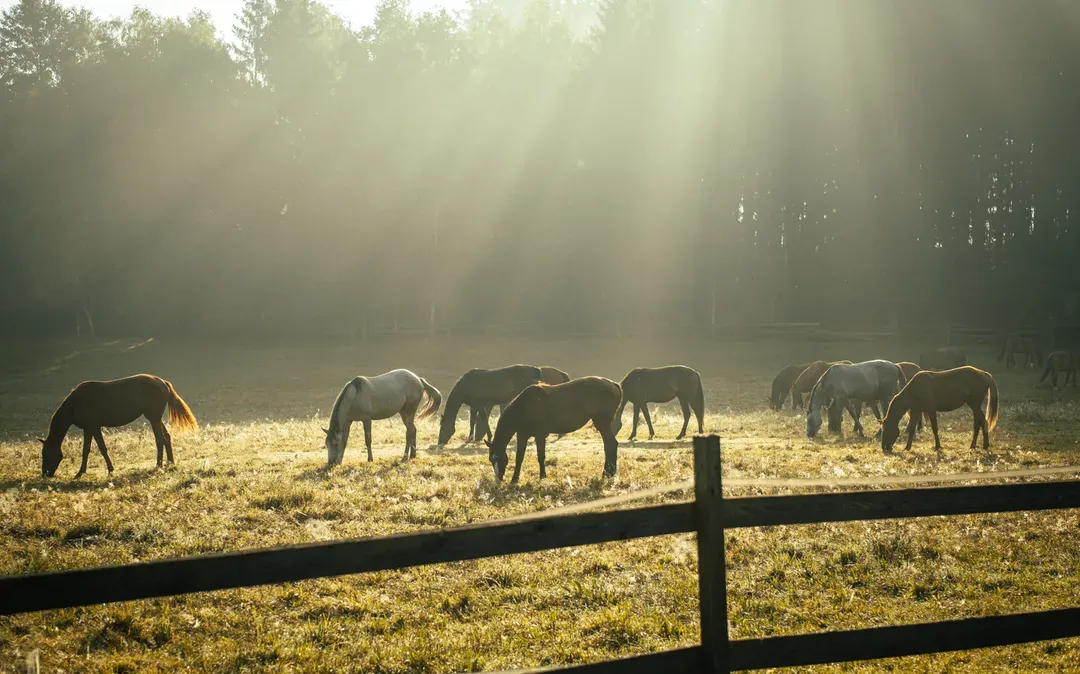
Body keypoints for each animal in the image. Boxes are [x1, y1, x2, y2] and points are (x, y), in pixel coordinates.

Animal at [39, 374, 198, 479]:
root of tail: (163, 382)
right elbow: (86, 450)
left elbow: (102, 448)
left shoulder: (94, 427)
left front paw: (110, 470)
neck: (75, 403)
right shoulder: (88, 429)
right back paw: (170, 462)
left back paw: (158, 465)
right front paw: (80, 472)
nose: (45, 474)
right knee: (166, 437)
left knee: (160, 440)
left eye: (45, 453)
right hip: (155, 418)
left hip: (153, 418)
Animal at [485, 376, 621, 484]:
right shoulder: (522, 435)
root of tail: (614, 384)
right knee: (609, 445)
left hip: (602, 424)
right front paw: (514, 480)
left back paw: (607, 473)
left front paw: (542, 477)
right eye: (491, 459)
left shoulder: (539, 435)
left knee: (610, 445)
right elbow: (519, 457)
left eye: (498, 458)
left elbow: (541, 456)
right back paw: (609, 473)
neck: (525, 406)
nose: (498, 480)